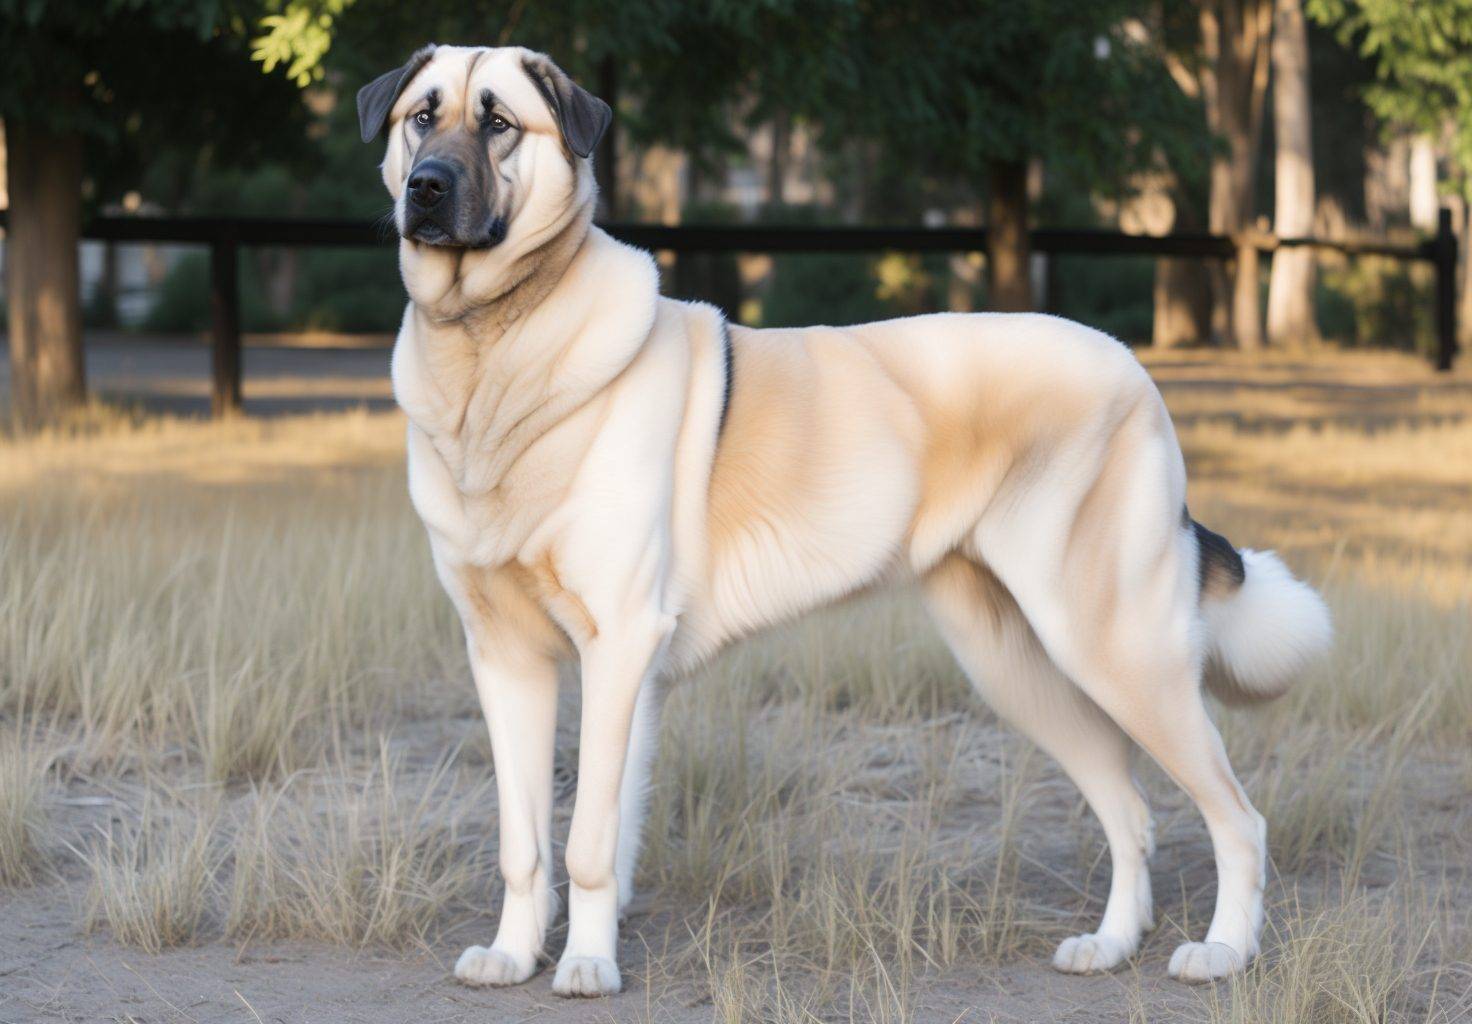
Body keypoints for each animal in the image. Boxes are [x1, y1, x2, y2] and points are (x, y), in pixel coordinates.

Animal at [359, 43, 1336, 994]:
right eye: (422, 117)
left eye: (498, 123)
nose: (428, 188)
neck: (490, 346)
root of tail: (1136, 372)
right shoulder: (508, 659)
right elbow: (524, 842)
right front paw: (516, 954)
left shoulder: (618, 645)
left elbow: (589, 842)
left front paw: (589, 966)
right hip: (1016, 663)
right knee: (1130, 811)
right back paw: (1111, 945)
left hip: (1118, 649)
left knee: (1237, 818)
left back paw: (1224, 951)